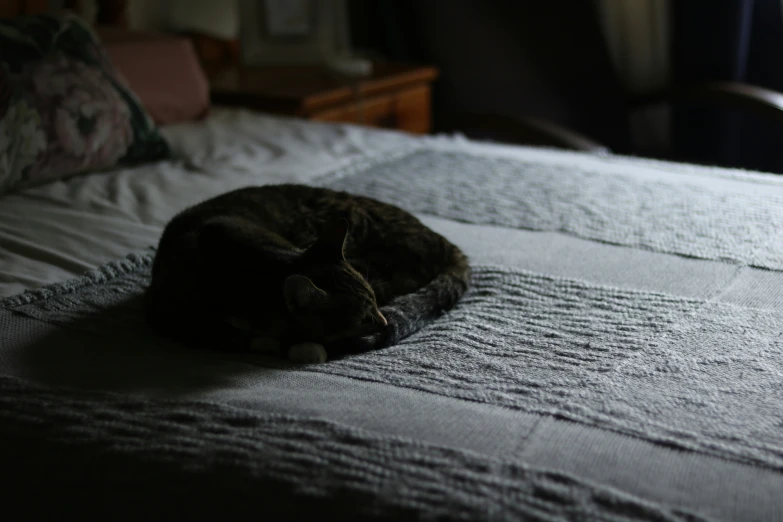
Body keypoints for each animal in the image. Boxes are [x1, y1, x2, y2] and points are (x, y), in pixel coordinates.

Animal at [146, 184, 472, 362]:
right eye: (362, 318)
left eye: (374, 309)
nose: (382, 322)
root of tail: (445, 243)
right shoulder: (176, 316)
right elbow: (229, 336)